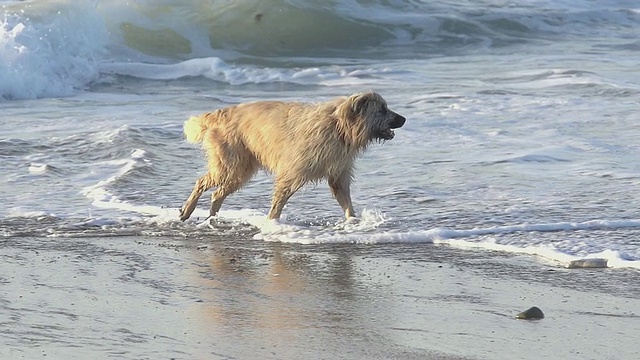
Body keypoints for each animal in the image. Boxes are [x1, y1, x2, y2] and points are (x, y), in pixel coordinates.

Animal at [179, 91, 404, 221]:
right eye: (383, 109)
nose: (403, 119)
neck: (339, 126)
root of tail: (223, 112)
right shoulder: (293, 172)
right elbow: (280, 199)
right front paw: (271, 223)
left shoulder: (338, 174)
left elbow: (345, 200)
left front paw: (352, 222)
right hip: (231, 163)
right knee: (202, 182)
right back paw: (188, 209)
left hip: (240, 170)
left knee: (218, 193)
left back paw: (212, 218)